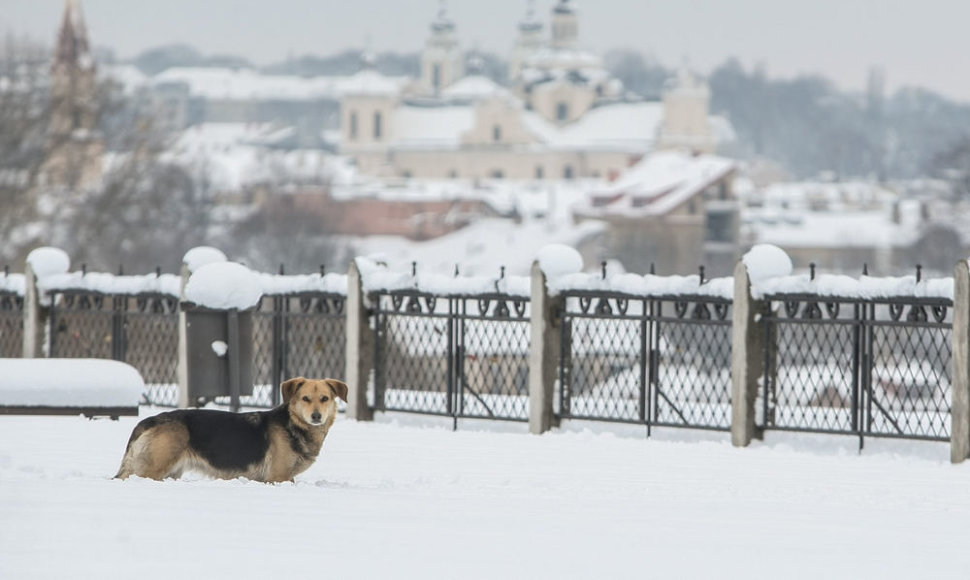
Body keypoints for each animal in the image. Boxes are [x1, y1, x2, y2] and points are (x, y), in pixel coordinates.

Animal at [114, 378, 348, 482]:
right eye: (305, 398)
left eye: (324, 399)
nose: (316, 416)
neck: (293, 424)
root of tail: (149, 421)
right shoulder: (278, 476)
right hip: (152, 470)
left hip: (170, 472)